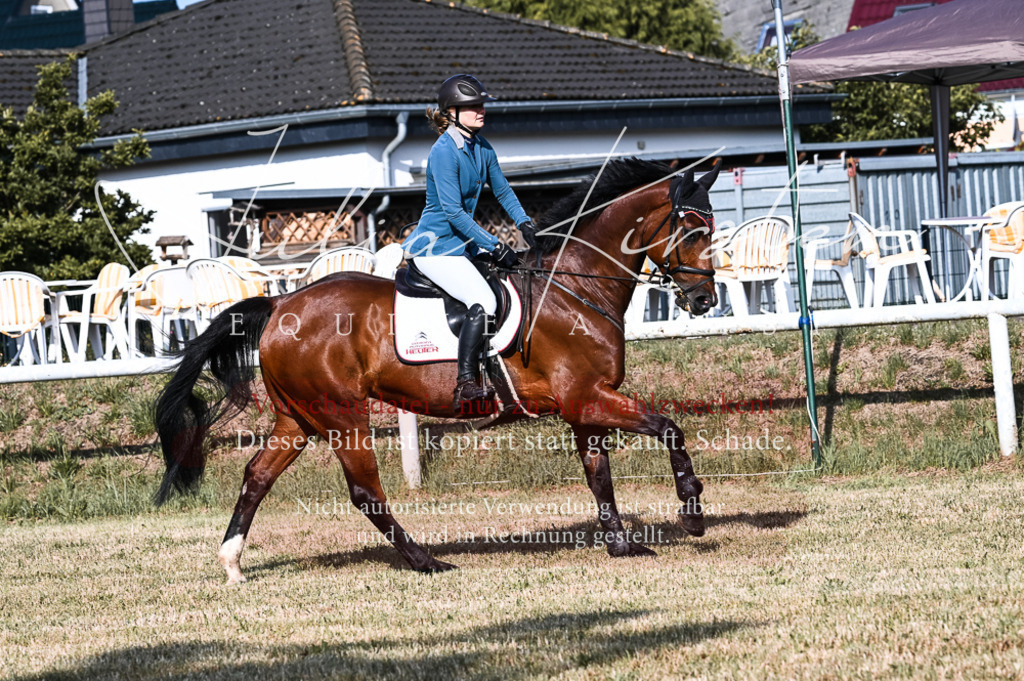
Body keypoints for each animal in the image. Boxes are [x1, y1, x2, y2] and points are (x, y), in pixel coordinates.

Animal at [155, 157, 722, 583]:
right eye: (693, 230)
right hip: (341, 415)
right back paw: (426, 561)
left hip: (297, 417)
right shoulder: (587, 396)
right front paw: (691, 514)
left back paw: (232, 563)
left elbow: (598, 474)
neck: (573, 287)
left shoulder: (584, 403)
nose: (704, 300)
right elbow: (669, 428)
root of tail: (280, 304)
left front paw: (622, 545)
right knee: (366, 494)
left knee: (257, 476)